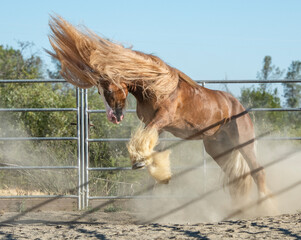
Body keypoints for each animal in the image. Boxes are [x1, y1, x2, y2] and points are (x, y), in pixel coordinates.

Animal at [47, 15, 270, 202]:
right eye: (100, 92)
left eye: (109, 90)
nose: (114, 117)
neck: (157, 86)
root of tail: (239, 107)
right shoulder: (157, 126)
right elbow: (150, 144)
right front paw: (158, 173)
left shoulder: (162, 118)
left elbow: (143, 141)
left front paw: (140, 162)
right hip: (218, 147)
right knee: (238, 177)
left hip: (243, 142)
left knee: (258, 172)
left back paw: (264, 205)